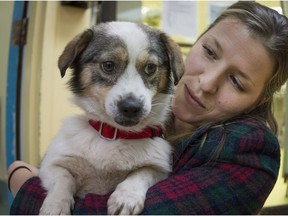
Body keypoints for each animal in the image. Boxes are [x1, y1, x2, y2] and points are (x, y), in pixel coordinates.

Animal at [38, 21, 184, 214]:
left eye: (151, 67)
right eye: (108, 65)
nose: (132, 107)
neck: (115, 134)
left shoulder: (159, 168)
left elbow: (141, 173)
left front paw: (125, 197)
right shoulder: (49, 164)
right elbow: (63, 178)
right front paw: (56, 203)